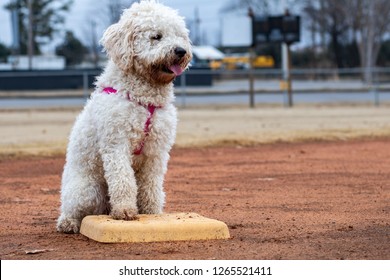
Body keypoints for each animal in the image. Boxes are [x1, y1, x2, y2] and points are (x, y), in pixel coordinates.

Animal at [56, 0, 192, 233]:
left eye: (179, 35)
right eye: (156, 36)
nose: (181, 51)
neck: (144, 99)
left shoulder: (156, 151)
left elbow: (151, 185)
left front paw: (152, 212)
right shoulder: (116, 143)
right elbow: (123, 180)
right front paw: (125, 211)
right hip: (87, 190)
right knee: (72, 210)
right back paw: (69, 223)